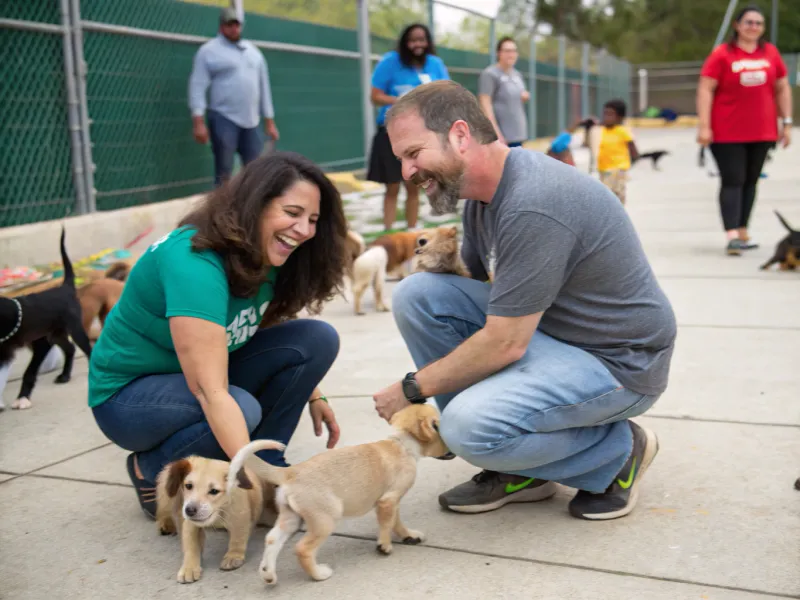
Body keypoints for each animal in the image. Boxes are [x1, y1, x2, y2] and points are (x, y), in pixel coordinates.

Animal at [0, 227, 92, 410]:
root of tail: (64, 287)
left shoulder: (41, 343)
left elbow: (29, 372)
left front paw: (22, 398)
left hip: (73, 329)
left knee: (86, 348)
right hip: (55, 334)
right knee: (70, 348)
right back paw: (65, 376)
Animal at [225, 400, 450, 584]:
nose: (451, 450)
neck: (401, 444)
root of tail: (291, 472)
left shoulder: (391, 502)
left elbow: (396, 522)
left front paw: (408, 535)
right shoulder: (388, 500)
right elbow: (387, 524)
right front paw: (384, 546)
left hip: (291, 517)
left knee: (272, 540)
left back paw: (268, 574)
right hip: (325, 519)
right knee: (303, 549)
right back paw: (318, 574)